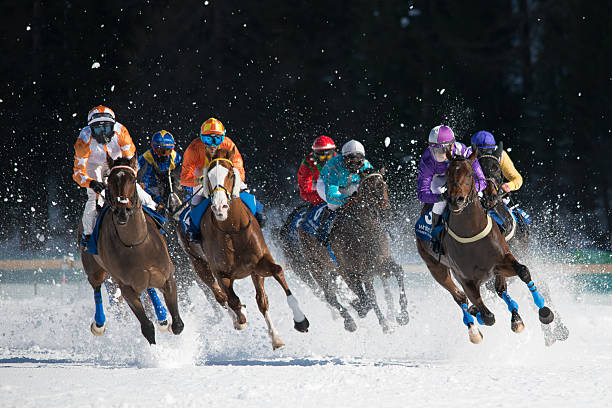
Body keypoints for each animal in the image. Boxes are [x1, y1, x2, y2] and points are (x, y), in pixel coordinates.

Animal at [80, 156, 184, 344]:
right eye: (110, 181)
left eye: (133, 179)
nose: (123, 210)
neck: (137, 245)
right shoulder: (126, 288)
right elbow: (147, 328)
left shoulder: (167, 278)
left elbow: (178, 325)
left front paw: (166, 321)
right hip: (95, 269)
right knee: (96, 286)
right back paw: (99, 324)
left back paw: (162, 316)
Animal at [177, 148, 310, 350]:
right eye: (208, 176)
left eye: (231, 174)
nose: (220, 207)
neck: (231, 230)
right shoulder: (220, 272)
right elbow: (232, 299)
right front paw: (240, 317)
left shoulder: (259, 263)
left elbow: (276, 275)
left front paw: (299, 321)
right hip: (197, 263)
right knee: (220, 296)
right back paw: (237, 317)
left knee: (259, 299)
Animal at [298, 167, 412, 334]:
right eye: (369, 190)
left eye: (384, 186)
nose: (386, 214)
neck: (364, 231)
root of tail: (302, 219)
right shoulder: (351, 272)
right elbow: (368, 299)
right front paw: (377, 319)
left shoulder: (380, 264)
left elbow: (398, 272)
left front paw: (403, 315)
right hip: (315, 266)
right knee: (330, 296)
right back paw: (350, 321)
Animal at [416, 148, 556, 342]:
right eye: (447, 173)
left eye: (470, 174)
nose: (456, 200)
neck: (471, 232)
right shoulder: (465, 278)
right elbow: (487, 315)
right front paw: (479, 314)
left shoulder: (501, 260)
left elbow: (523, 272)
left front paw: (544, 312)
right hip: (436, 268)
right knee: (460, 298)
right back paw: (475, 328)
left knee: (500, 290)